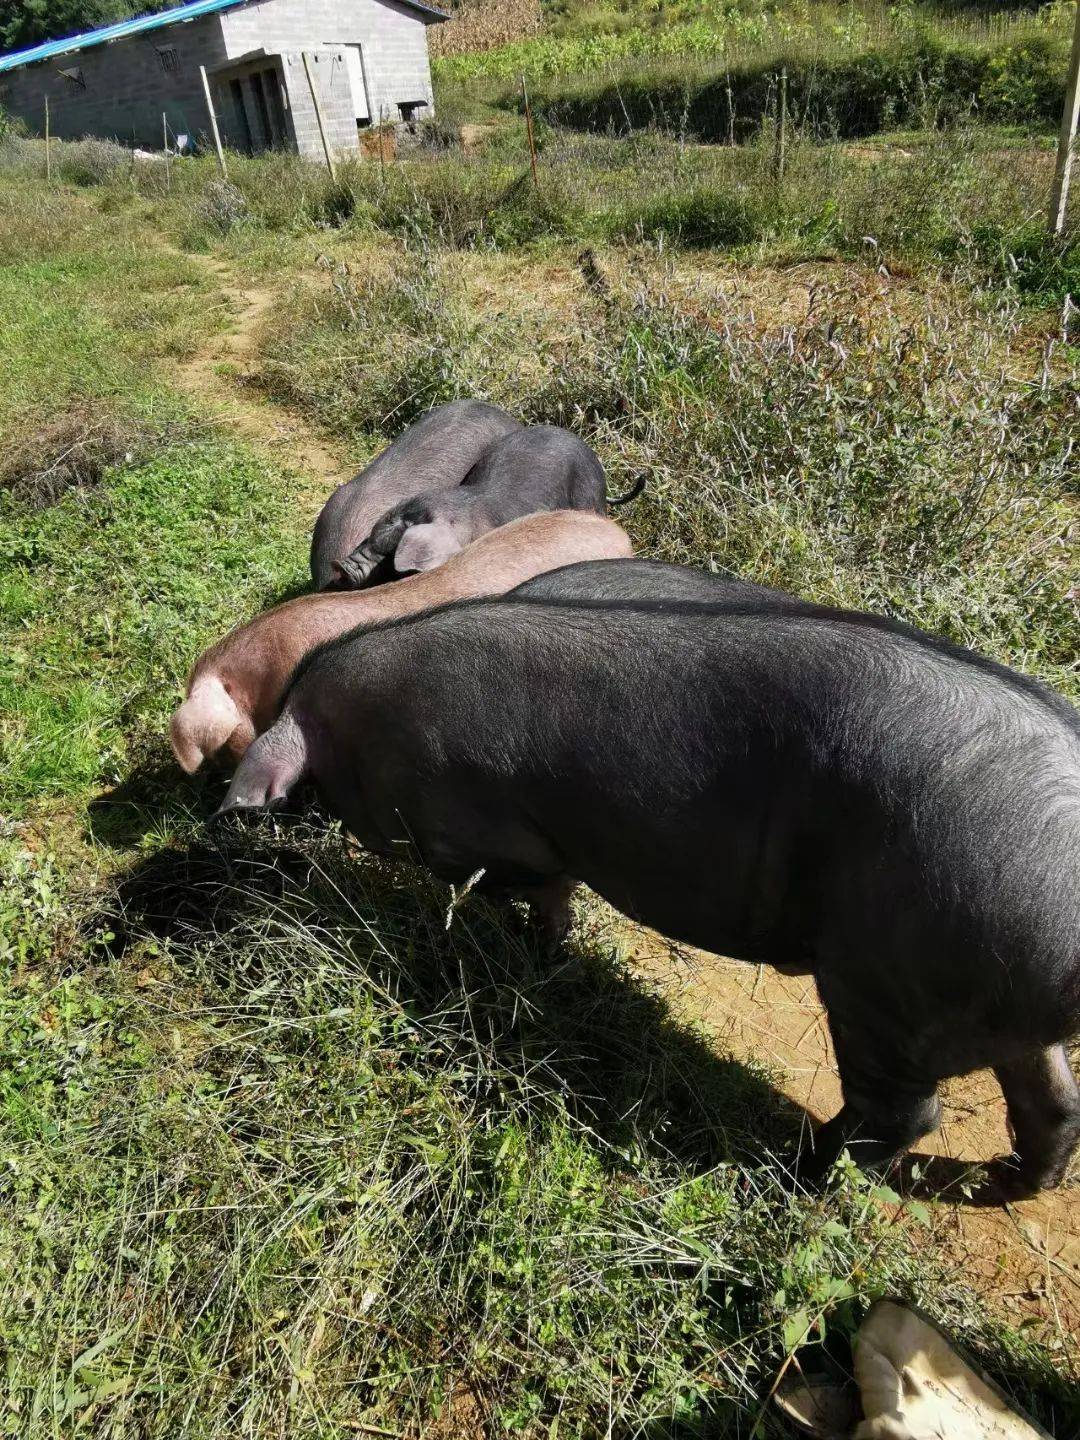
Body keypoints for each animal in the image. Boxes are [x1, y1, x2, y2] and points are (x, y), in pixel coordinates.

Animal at [216, 578, 1080, 1198]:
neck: (363, 733)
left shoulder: (481, 833)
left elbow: (531, 887)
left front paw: (526, 940)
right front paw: (548, 950)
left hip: (890, 983)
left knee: (905, 1113)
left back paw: (796, 1177)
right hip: (987, 999)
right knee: (1051, 1104)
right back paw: (999, 1186)